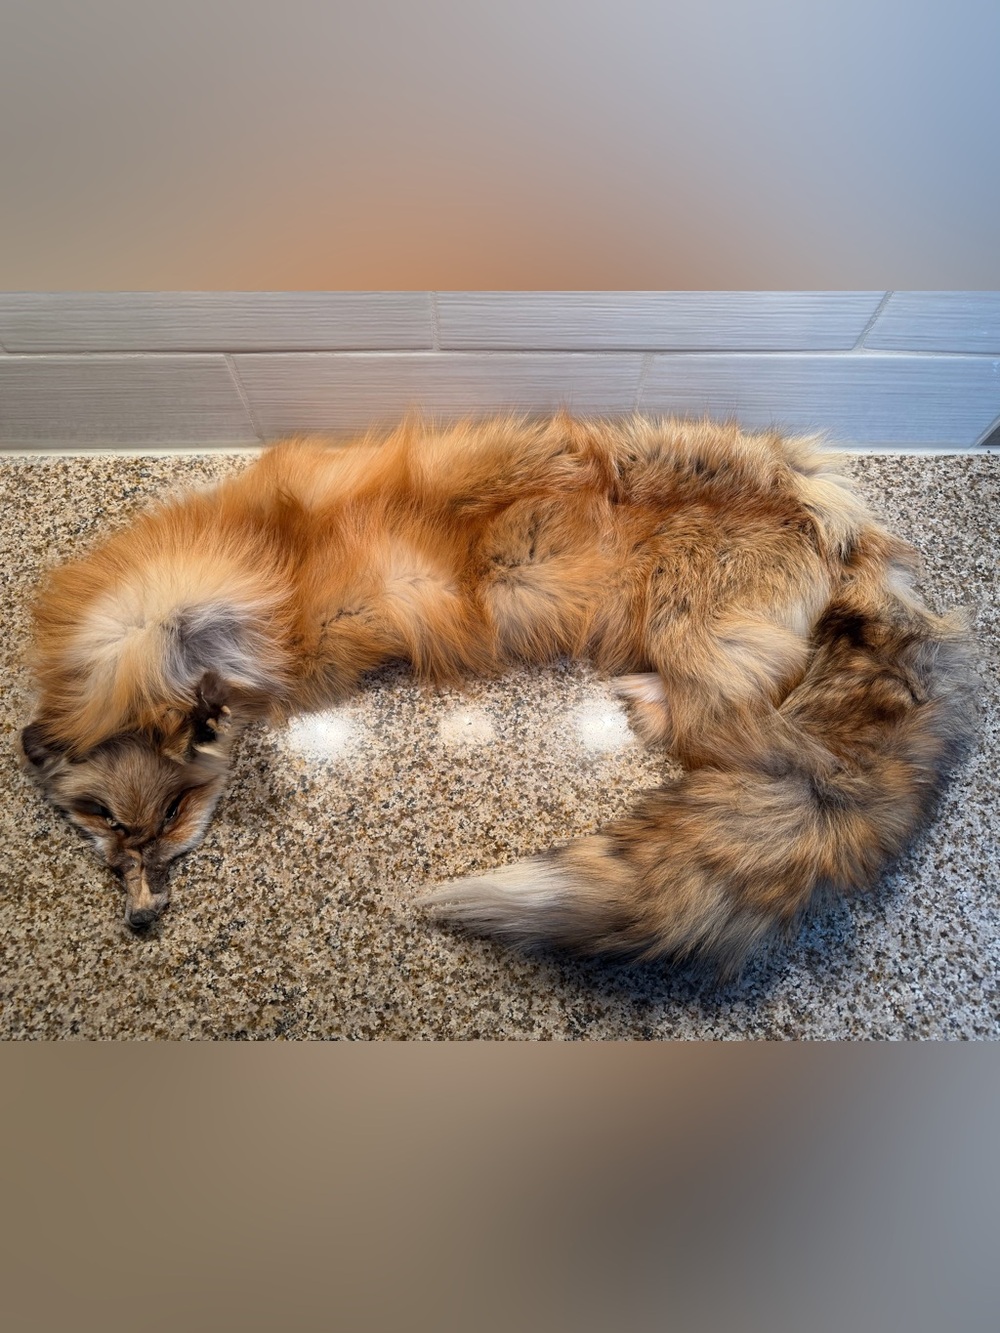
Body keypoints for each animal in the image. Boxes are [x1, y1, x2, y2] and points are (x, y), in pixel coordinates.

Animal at [20, 414, 975, 975]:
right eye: (104, 822)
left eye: (174, 809)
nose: (142, 909)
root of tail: (849, 544)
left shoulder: (179, 600)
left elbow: (150, 651)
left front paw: (187, 711)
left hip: (703, 645)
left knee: (740, 736)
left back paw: (659, 706)